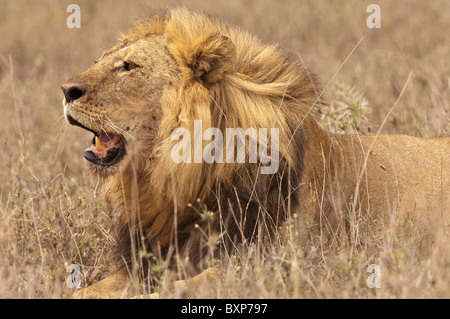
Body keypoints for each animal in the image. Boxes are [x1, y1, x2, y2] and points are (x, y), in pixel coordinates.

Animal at [61, 6, 448, 298]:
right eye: (101, 60)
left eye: (129, 67)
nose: (66, 90)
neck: (170, 178)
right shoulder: (147, 258)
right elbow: (86, 290)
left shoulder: (261, 262)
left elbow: (179, 289)